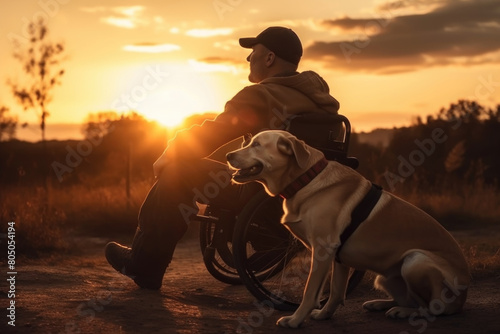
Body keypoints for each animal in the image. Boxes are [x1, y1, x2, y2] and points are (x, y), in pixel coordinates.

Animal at [227, 130, 468, 328]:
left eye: (256, 144)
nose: (228, 155)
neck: (305, 179)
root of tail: (462, 299)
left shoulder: (323, 249)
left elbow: (309, 291)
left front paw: (295, 320)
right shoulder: (338, 257)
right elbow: (335, 292)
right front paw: (324, 315)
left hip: (415, 261)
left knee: (430, 308)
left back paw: (402, 311)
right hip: (385, 278)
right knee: (409, 299)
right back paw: (380, 304)